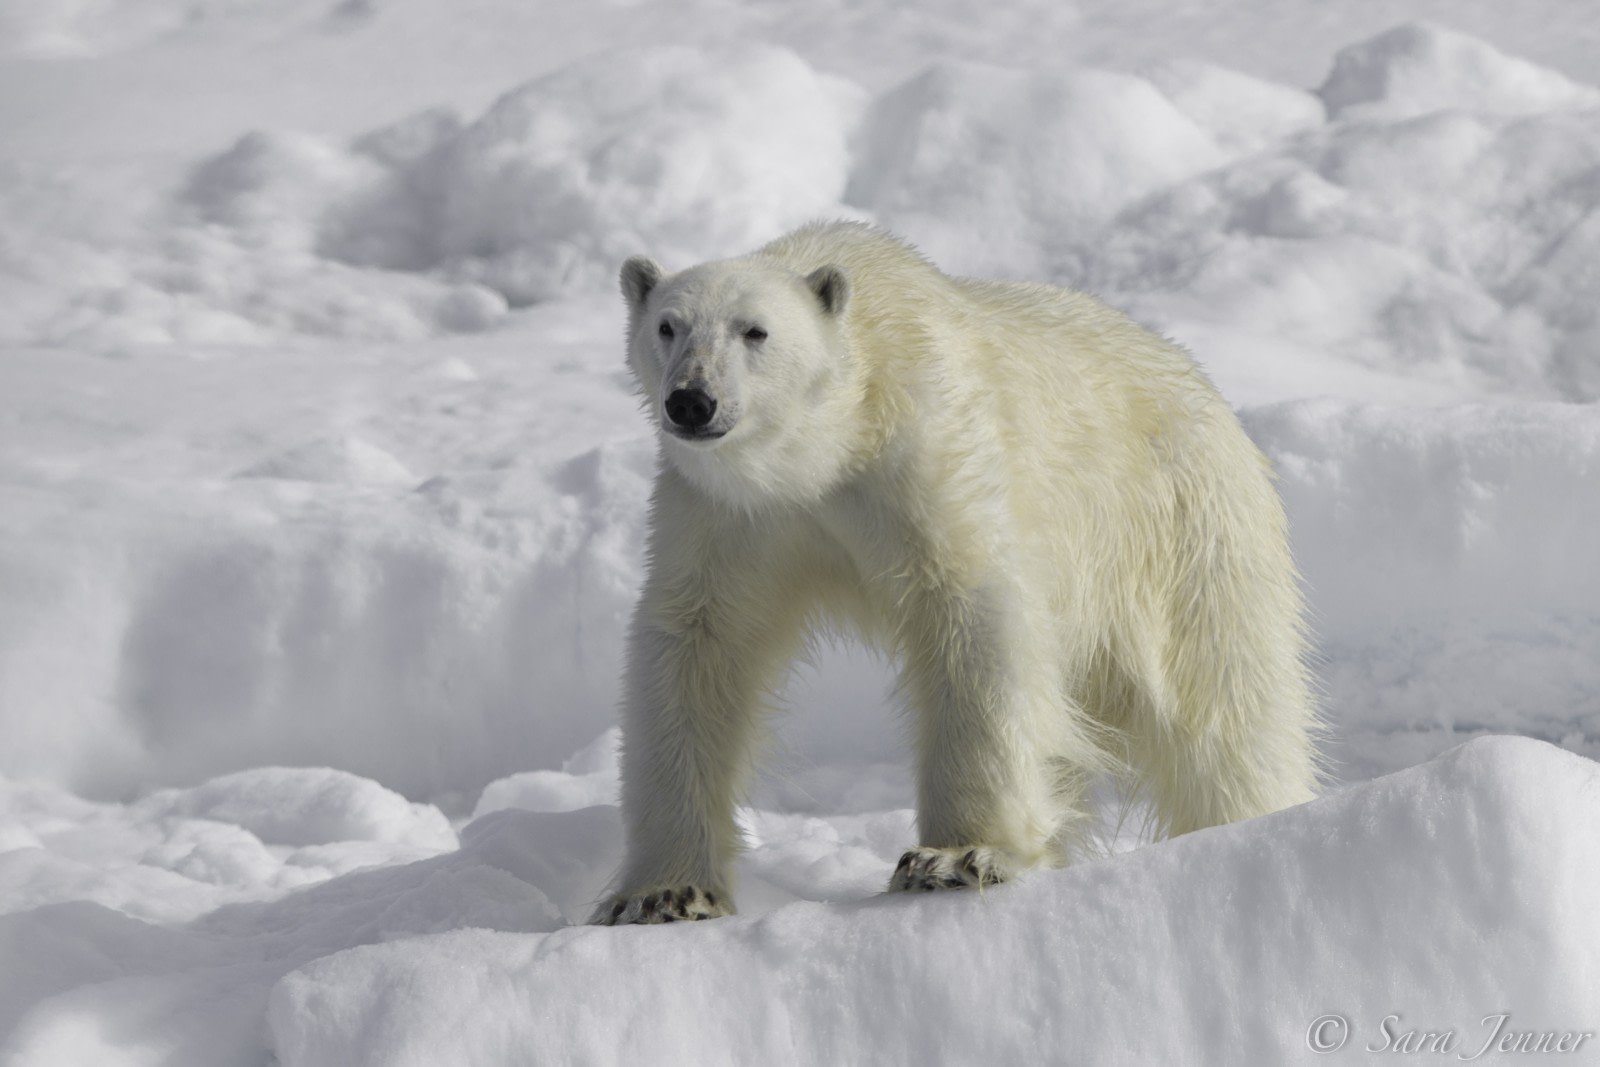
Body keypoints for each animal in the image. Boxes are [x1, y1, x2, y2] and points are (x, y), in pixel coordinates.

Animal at [595, 220, 1318, 921]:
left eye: (755, 330)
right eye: (668, 326)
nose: (693, 400)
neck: (828, 445)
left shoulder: (927, 453)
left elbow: (972, 616)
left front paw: (955, 857)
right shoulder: (727, 515)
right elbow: (697, 645)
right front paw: (663, 893)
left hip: (1181, 536)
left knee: (1226, 711)